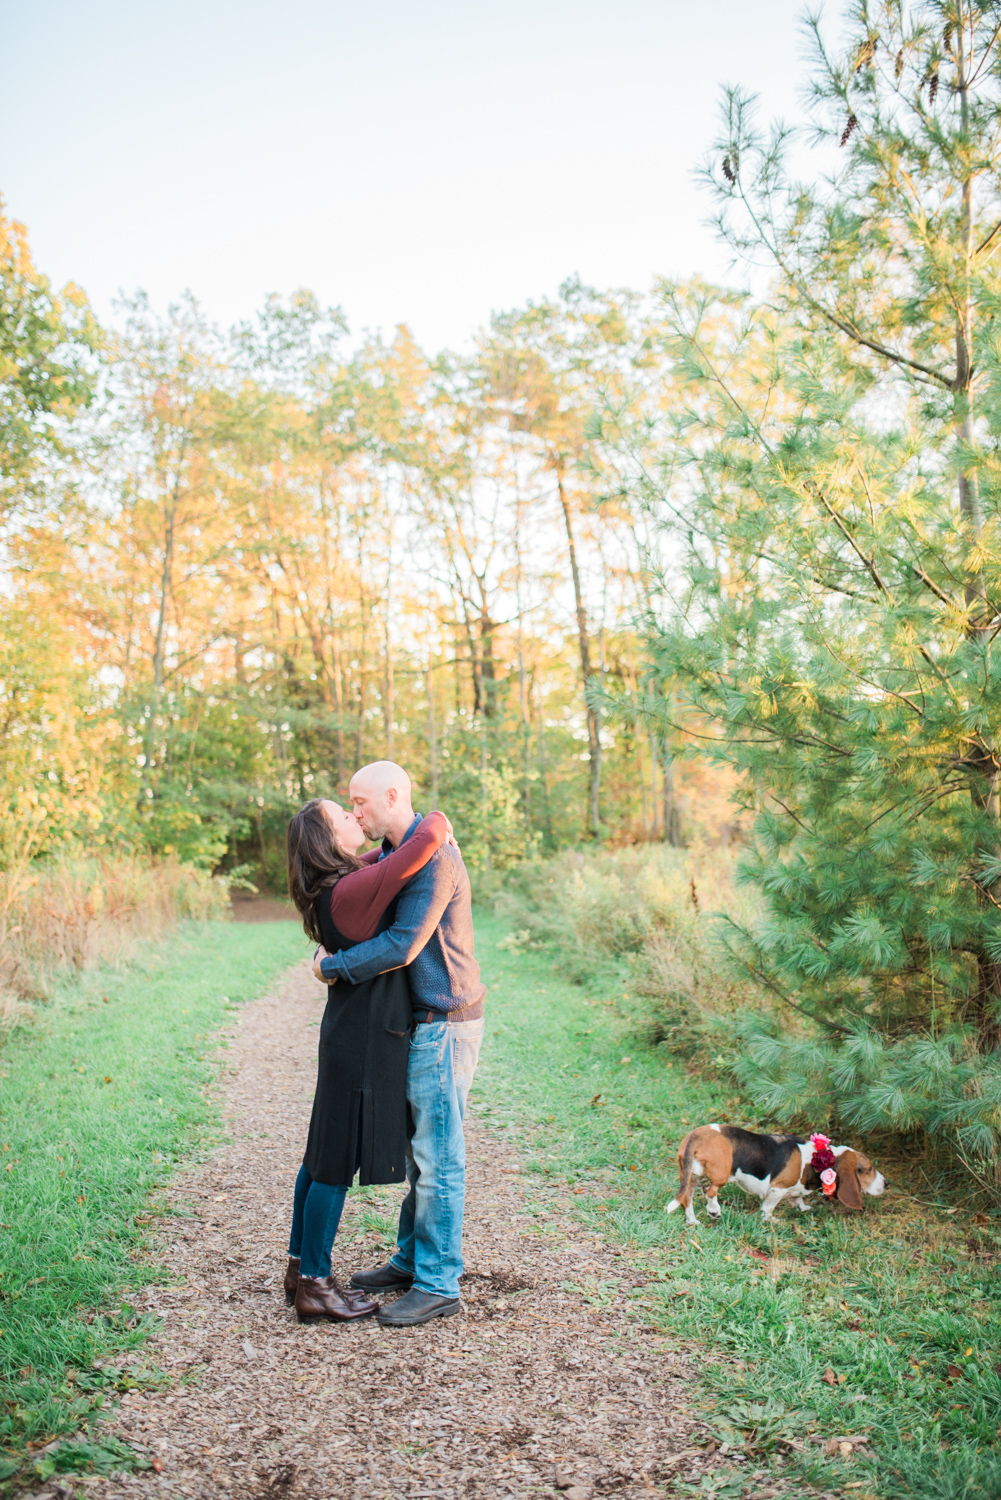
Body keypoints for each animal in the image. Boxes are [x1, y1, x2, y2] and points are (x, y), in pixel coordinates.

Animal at [669, 1128, 888, 1218]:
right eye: (868, 1169)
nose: (887, 1183)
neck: (819, 1159)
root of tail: (698, 1135)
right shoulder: (777, 1190)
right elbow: (768, 1208)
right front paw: (769, 1220)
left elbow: (798, 1198)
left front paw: (803, 1208)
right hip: (720, 1175)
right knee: (710, 1192)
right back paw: (714, 1210)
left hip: (691, 1177)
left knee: (686, 1199)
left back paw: (693, 1221)